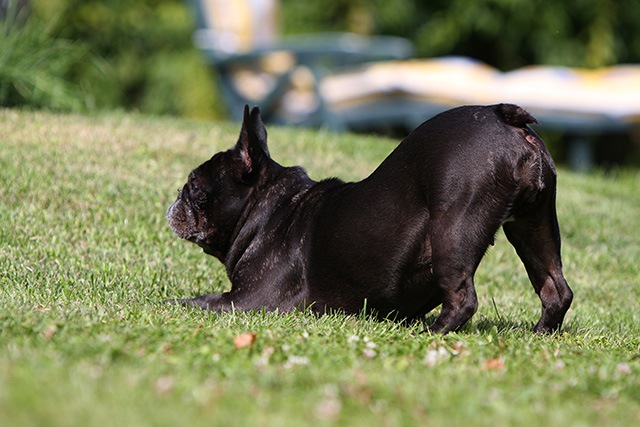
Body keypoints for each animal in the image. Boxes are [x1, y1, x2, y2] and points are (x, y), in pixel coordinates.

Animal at [168, 104, 572, 334]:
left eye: (194, 186)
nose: (175, 200)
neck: (271, 210)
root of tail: (503, 117)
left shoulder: (250, 301)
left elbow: (196, 301)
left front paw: (167, 302)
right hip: (534, 226)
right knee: (556, 289)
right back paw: (539, 334)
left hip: (453, 229)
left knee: (463, 298)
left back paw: (431, 334)